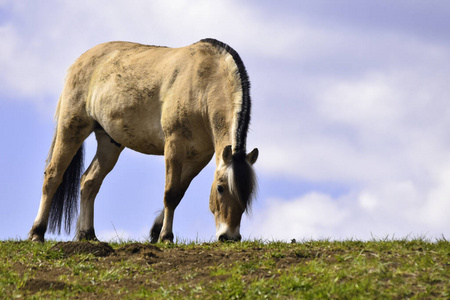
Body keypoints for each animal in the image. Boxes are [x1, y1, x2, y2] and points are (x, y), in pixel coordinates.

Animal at [28, 38, 258, 243]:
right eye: (220, 188)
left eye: (247, 192)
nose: (229, 236)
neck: (203, 84)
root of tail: (79, 61)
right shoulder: (174, 146)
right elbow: (170, 193)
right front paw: (166, 236)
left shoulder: (199, 157)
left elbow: (179, 192)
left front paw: (156, 232)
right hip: (72, 128)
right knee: (53, 176)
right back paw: (37, 233)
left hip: (109, 143)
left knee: (89, 181)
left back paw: (88, 235)